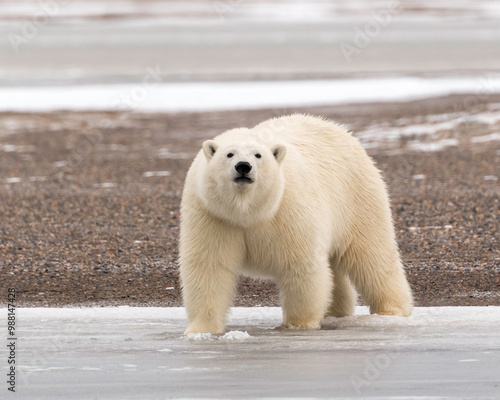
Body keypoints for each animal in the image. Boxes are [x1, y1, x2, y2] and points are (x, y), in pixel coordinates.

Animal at [178, 115, 412, 334]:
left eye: (258, 155)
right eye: (229, 154)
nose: (243, 167)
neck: (247, 212)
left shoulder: (287, 210)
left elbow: (300, 263)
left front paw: (296, 324)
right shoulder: (213, 216)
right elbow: (209, 267)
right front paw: (201, 329)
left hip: (356, 197)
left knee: (372, 255)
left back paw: (391, 310)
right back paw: (334, 312)